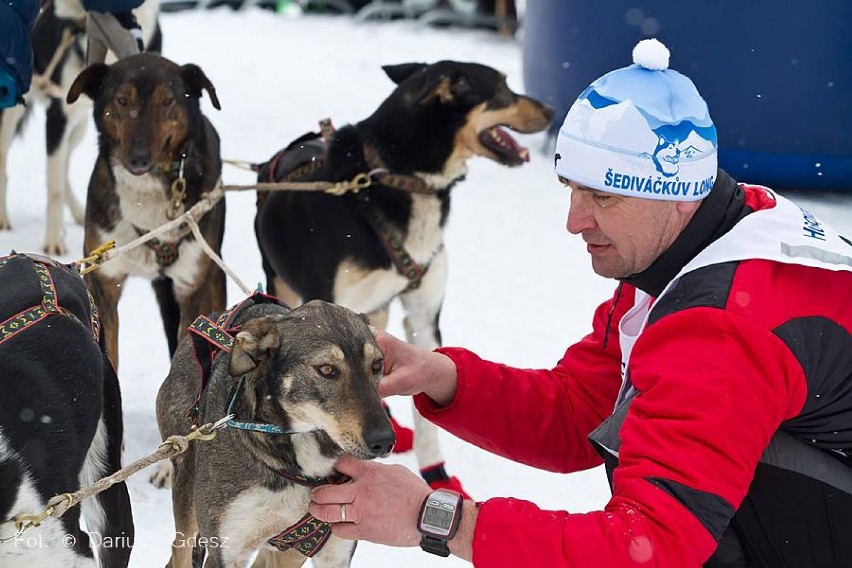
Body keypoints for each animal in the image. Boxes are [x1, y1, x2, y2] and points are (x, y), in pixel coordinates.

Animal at [0, 0, 162, 255]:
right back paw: (3, 218)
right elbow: (54, 188)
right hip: (11, 112)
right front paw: (53, 241)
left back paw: (78, 210)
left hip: (80, 127)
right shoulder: (58, 116)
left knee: (63, 165)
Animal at [156, 298, 396, 568]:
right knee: (180, 551)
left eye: (377, 365)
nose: (384, 441)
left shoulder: (335, 552)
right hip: (186, 495)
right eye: (326, 369)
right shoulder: (227, 550)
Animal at [256, 58, 556, 492]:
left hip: (376, 312)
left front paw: (436, 476)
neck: (393, 180)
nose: (552, 111)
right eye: (502, 86)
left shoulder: (423, 318)